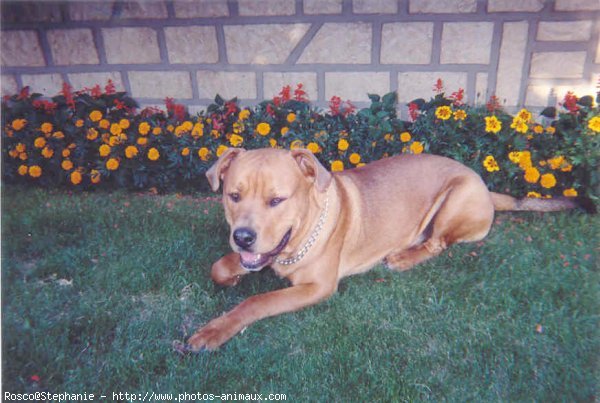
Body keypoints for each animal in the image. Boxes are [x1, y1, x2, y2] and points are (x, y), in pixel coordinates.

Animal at [188, 148, 576, 350]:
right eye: (233, 195)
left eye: (276, 200)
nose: (243, 237)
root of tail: (485, 185)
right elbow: (219, 267)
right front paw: (231, 277)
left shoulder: (317, 287)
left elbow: (256, 302)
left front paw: (214, 330)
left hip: (455, 198)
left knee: (437, 242)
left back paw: (403, 257)